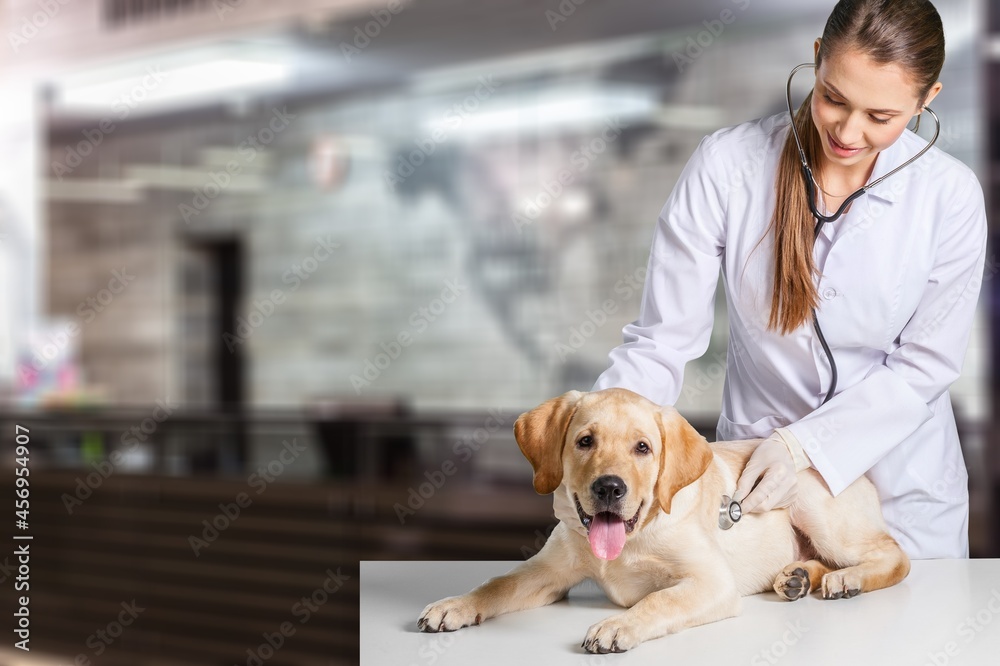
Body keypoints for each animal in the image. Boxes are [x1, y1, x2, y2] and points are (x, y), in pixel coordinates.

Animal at [418, 386, 912, 652]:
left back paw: (846, 579)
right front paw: (454, 605)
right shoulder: (549, 570)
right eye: (584, 441)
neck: (633, 538)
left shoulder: (711, 581)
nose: (610, 488)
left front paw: (617, 626)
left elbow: (659, 600)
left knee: (895, 555)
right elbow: (497, 583)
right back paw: (798, 577)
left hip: (814, 507)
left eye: (643, 448)